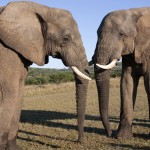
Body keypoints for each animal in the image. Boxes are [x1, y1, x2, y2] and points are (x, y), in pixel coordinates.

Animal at [0, 1, 91, 150]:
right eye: (65, 39)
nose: (79, 141)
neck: (41, 8)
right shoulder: (5, 52)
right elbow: (9, 94)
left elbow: (20, 94)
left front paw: (14, 148)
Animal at [90, 7, 150, 139]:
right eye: (97, 33)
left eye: (121, 34)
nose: (110, 133)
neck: (135, 12)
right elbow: (127, 82)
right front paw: (122, 137)